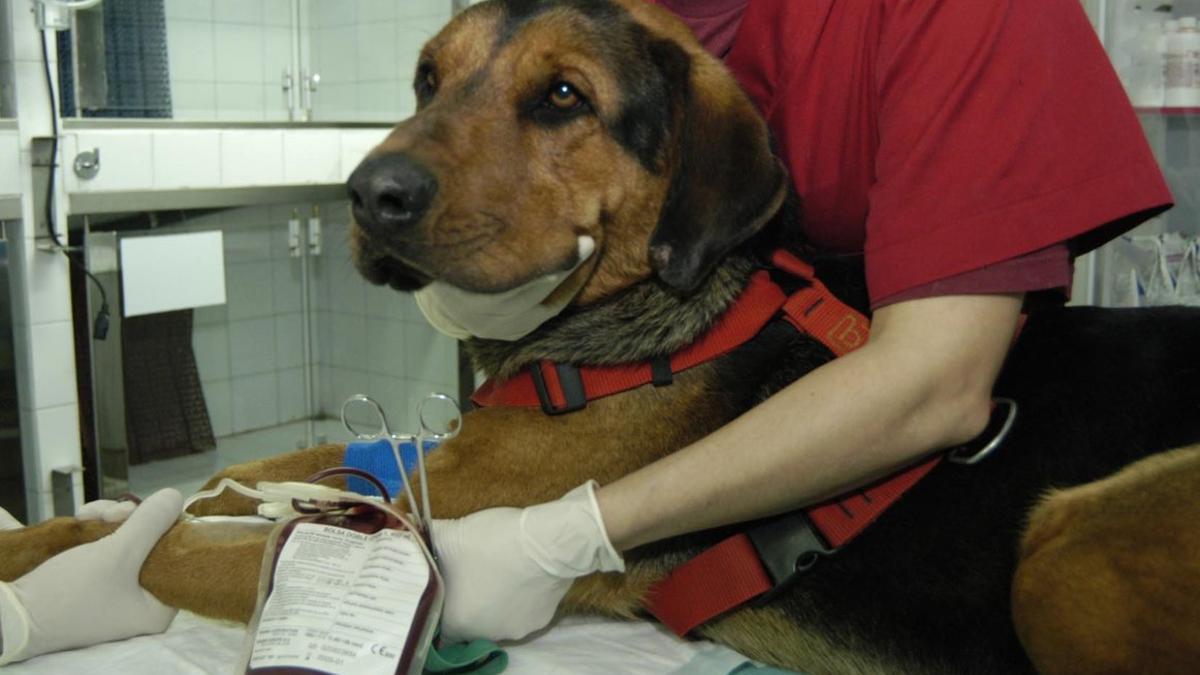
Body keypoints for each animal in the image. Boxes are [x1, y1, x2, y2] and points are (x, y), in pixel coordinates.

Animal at [2, 1, 1200, 672]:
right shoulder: (423, 461)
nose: (363, 194)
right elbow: (236, 479)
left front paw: (88, 566)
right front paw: (51, 536)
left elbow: (175, 544)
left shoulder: (438, 516)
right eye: (426, 78)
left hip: (1070, 538)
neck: (628, 328)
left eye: (565, 97)